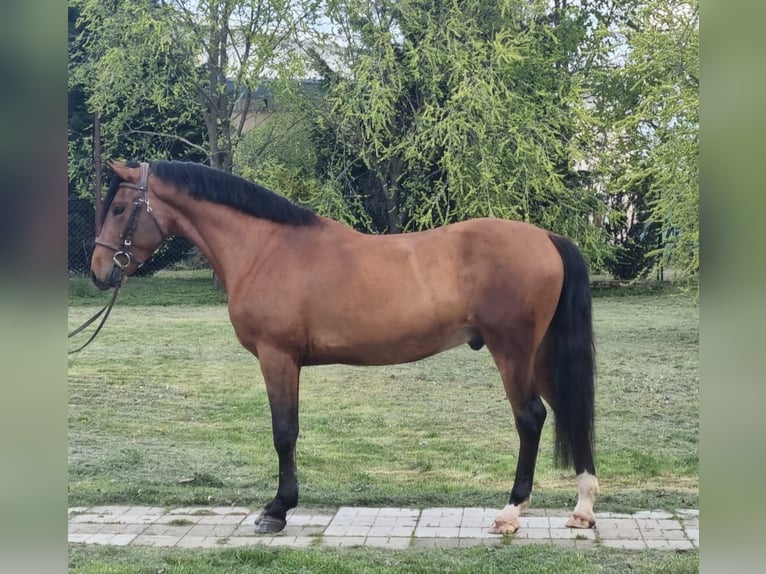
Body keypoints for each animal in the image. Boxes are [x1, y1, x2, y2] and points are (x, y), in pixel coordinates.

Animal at [90, 160, 599, 535]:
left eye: (118, 208)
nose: (98, 271)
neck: (265, 248)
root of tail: (547, 238)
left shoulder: (278, 358)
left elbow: (284, 432)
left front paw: (276, 510)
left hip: (512, 351)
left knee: (531, 418)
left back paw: (511, 512)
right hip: (542, 355)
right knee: (570, 411)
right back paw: (583, 508)